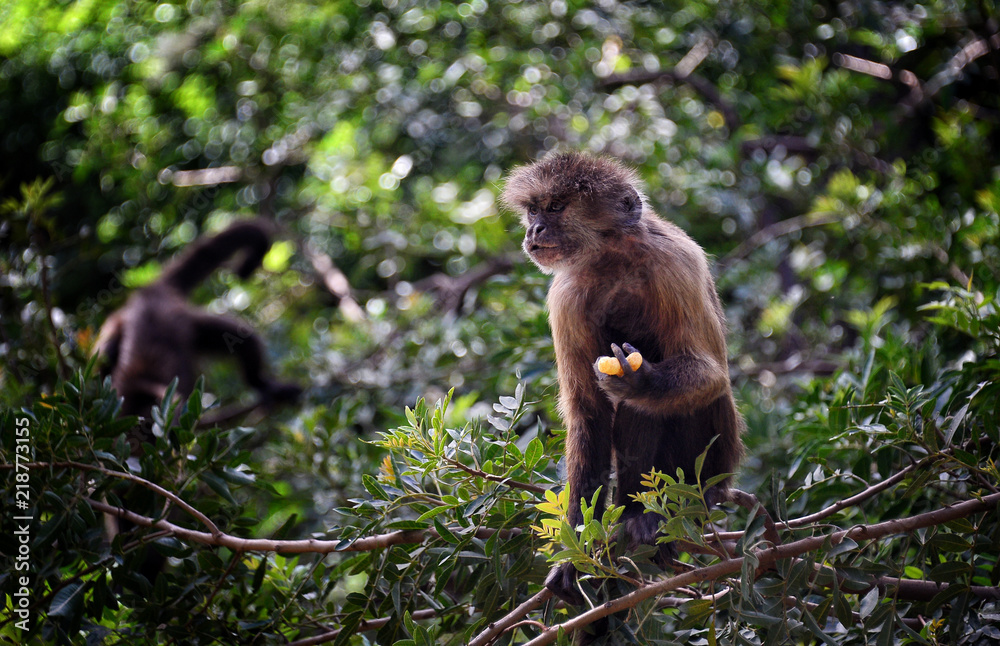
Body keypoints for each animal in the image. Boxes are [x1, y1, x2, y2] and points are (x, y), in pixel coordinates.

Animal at [95, 219, 302, 439]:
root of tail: (150, 293)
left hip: (186, 320)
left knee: (244, 340)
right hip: (119, 321)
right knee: (105, 354)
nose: (161, 434)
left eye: (156, 421)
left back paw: (263, 385)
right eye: (141, 429)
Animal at [501, 152, 745, 611]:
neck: (613, 262)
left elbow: (710, 374)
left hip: (715, 462)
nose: (534, 230)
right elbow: (589, 415)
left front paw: (640, 381)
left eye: (555, 208)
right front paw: (575, 557)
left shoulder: (675, 263)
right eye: (533, 211)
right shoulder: (566, 294)